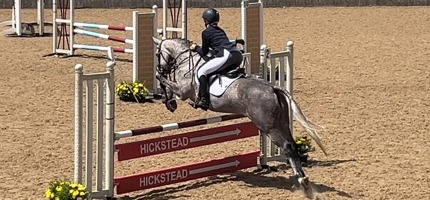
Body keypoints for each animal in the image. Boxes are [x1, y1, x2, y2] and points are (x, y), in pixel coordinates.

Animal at [153, 37, 328, 194]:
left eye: (157, 54)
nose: (161, 68)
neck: (186, 60)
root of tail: (273, 88)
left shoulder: (182, 91)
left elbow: (163, 80)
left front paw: (167, 98)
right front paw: (169, 101)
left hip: (269, 127)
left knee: (287, 147)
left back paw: (302, 182)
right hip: (281, 123)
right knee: (292, 145)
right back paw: (303, 179)